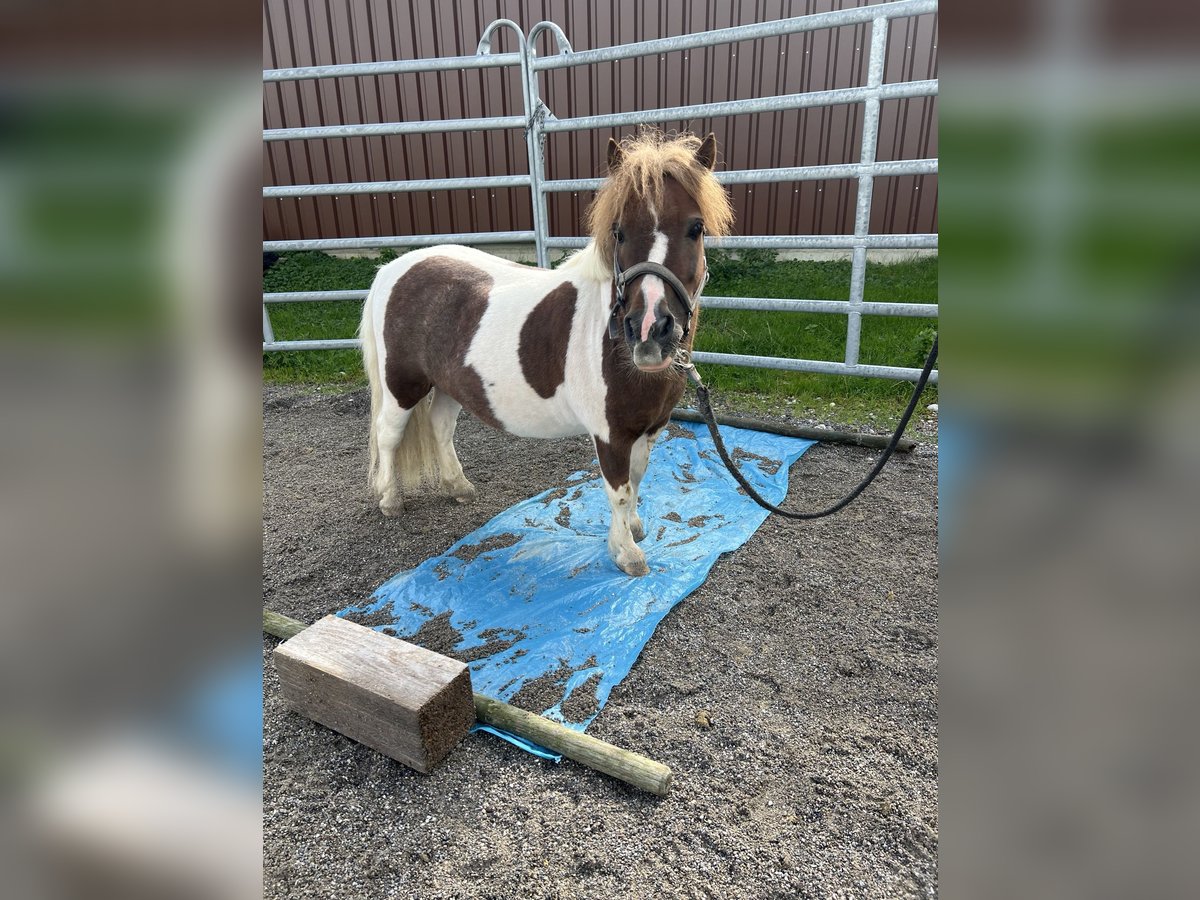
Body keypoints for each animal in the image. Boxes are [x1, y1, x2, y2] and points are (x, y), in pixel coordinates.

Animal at [357, 129, 729, 573]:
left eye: (696, 227)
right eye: (618, 232)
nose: (648, 331)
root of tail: (392, 270)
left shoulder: (650, 428)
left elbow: (638, 479)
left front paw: (635, 529)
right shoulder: (609, 434)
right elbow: (618, 490)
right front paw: (626, 553)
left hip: (448, 384)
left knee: (440, 426)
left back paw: (458, 486)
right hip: (402, 384)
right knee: (388, 435)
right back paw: (390, 499)